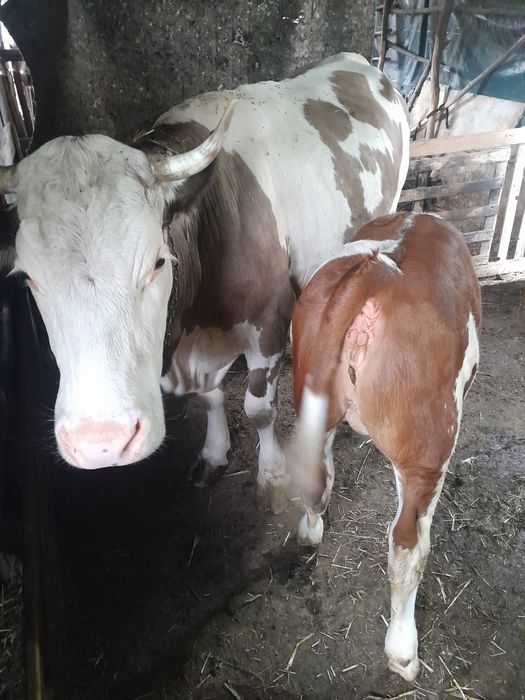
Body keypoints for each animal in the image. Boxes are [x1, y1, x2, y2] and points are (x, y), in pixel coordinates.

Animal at [0, 53, 409, 512]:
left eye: (158, 262)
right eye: (27, 277)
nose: (101, 441)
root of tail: (355, 60)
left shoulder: (269, 320)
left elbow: (259, 408)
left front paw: (272, 474)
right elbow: (210, 398)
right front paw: (214, 454)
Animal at [288, 211, 481, 679]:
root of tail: (373, 272)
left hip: (313, 405)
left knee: (318, 481)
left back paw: (310, 532)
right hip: (427, 451)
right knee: (407, 547)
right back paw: (403, 650)